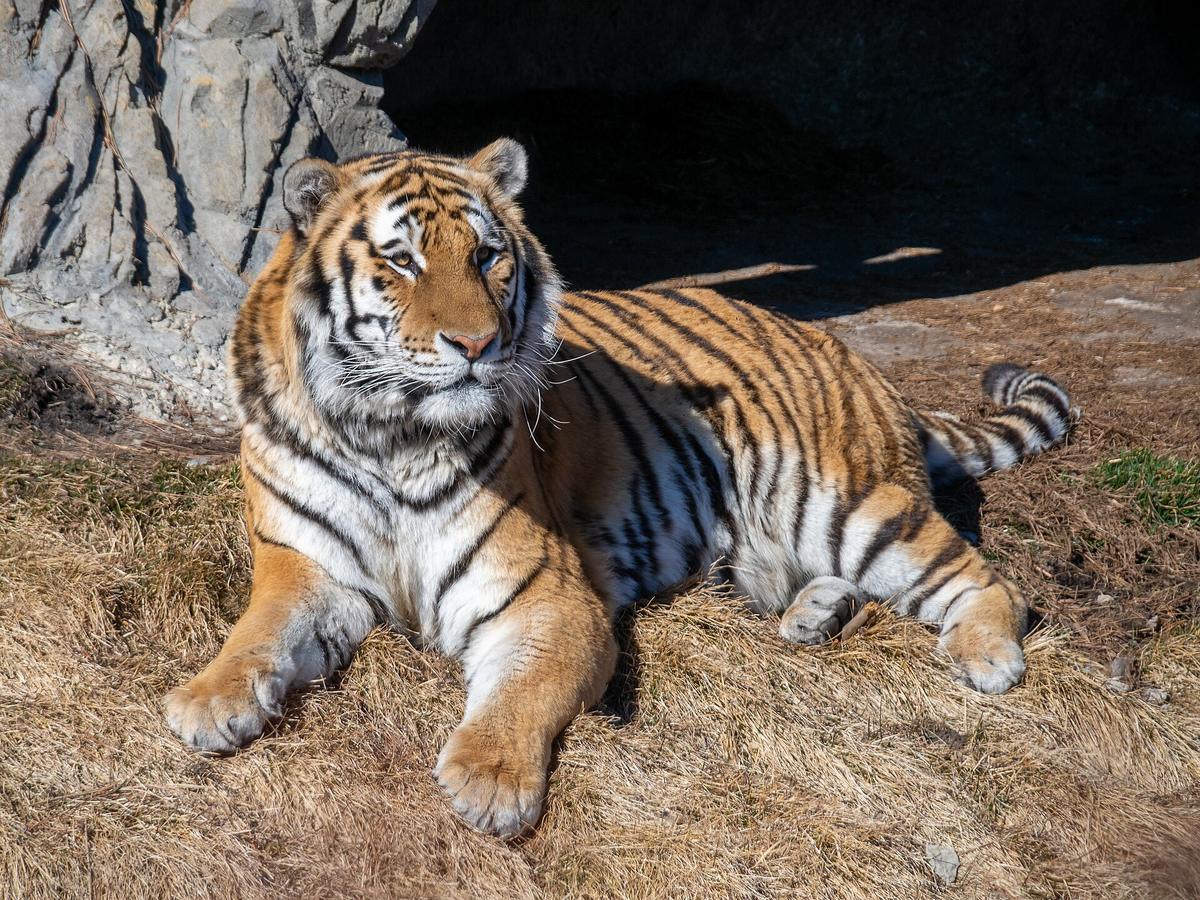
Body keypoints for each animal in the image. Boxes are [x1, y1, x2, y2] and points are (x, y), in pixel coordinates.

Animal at [164, 139, 1076, 838]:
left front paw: (489, 781)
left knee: (992, 581)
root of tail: (845, 349)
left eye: (488, 256)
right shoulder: (308, 571)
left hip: (839, 501)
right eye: (402, 261)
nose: (476, 345)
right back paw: (813, 615)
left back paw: (985, 656)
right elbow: (256, 636)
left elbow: (520, 693)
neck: (391, 437)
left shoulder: (548, 596)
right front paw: (206, 703)